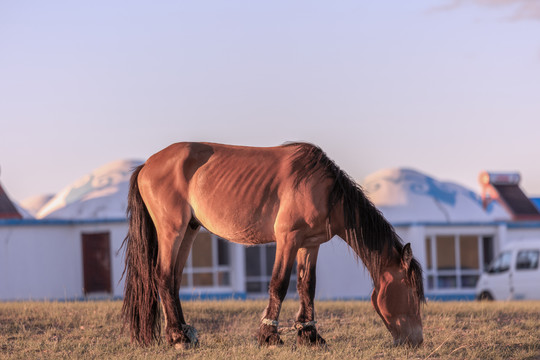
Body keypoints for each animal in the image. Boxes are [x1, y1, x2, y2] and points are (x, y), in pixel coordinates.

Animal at [120, 143, 424, 348]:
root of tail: (147, 165)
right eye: (411, 293)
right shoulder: (288, 239)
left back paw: (184, 332)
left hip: (189, 231)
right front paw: (269, 336)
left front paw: (310, 335)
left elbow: (307, 286)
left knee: (173, 279)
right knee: (162, 276)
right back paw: (176, 337)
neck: (324, 190)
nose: (417, 340)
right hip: (172, 230)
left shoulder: (310, 245)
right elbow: (279, 284)